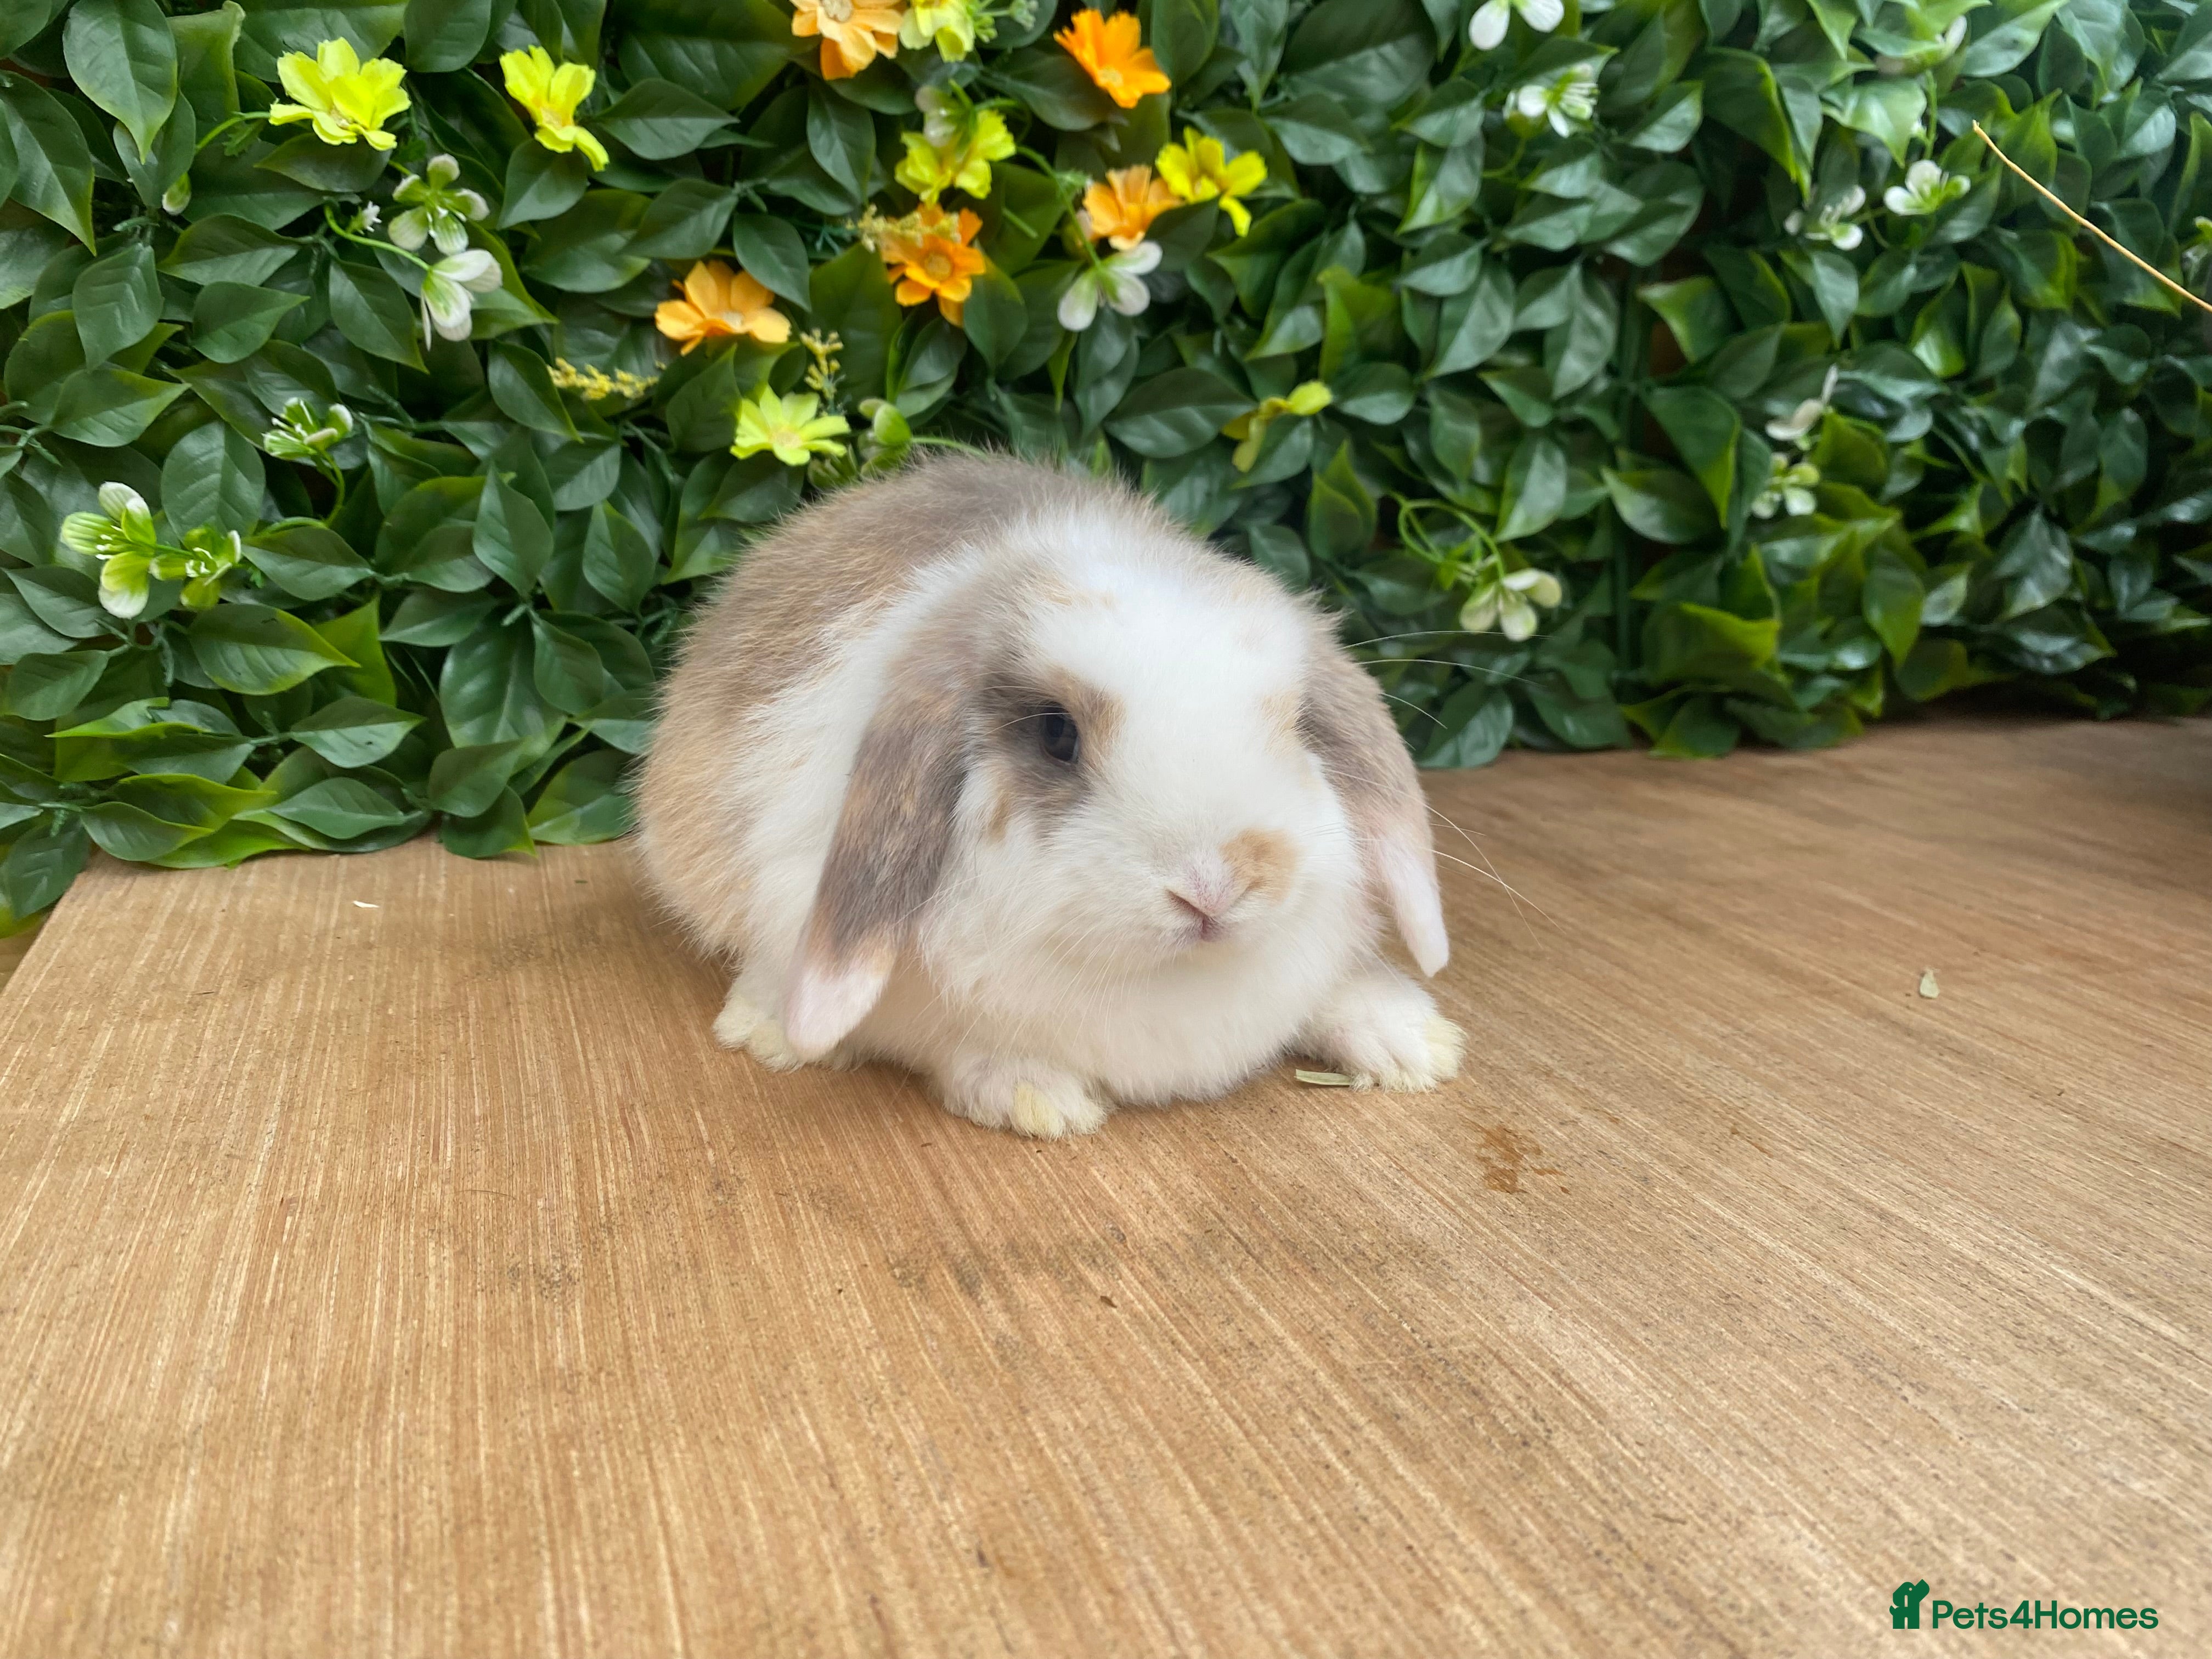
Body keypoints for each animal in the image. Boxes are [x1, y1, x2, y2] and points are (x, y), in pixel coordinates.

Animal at [635, 453, 1464, 1138]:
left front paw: (1418, 1041)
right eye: (1056, 734)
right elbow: (950, 1041)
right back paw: (765, 1026)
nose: (1216, 886)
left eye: (1295, 725)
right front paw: (1036, 1096)